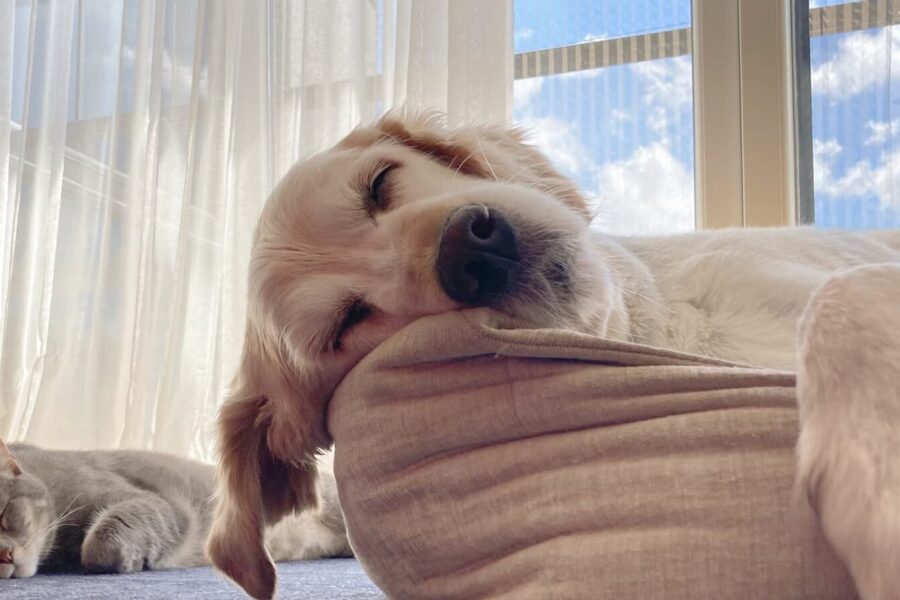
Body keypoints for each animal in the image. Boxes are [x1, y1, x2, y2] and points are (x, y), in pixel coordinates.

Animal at [206, 112, 900, 600]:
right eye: (345, 323)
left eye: (379, 184)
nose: (471, 249)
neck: (675, 331)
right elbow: (840, 297)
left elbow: (838, 296)